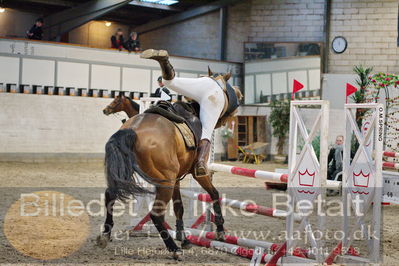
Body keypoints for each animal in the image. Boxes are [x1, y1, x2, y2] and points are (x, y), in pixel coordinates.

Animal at [98, 72, 242, 260]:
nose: (105, 110)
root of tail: (132, 130)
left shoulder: (177, 179)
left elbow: (179, 207)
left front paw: (185, 239)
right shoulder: (199, 173)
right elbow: (214, 194)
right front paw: (220, 231)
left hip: (139, 175)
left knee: (110, 195)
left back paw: (105, 235)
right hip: (165, 182)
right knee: (156, 214)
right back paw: (173, 249)